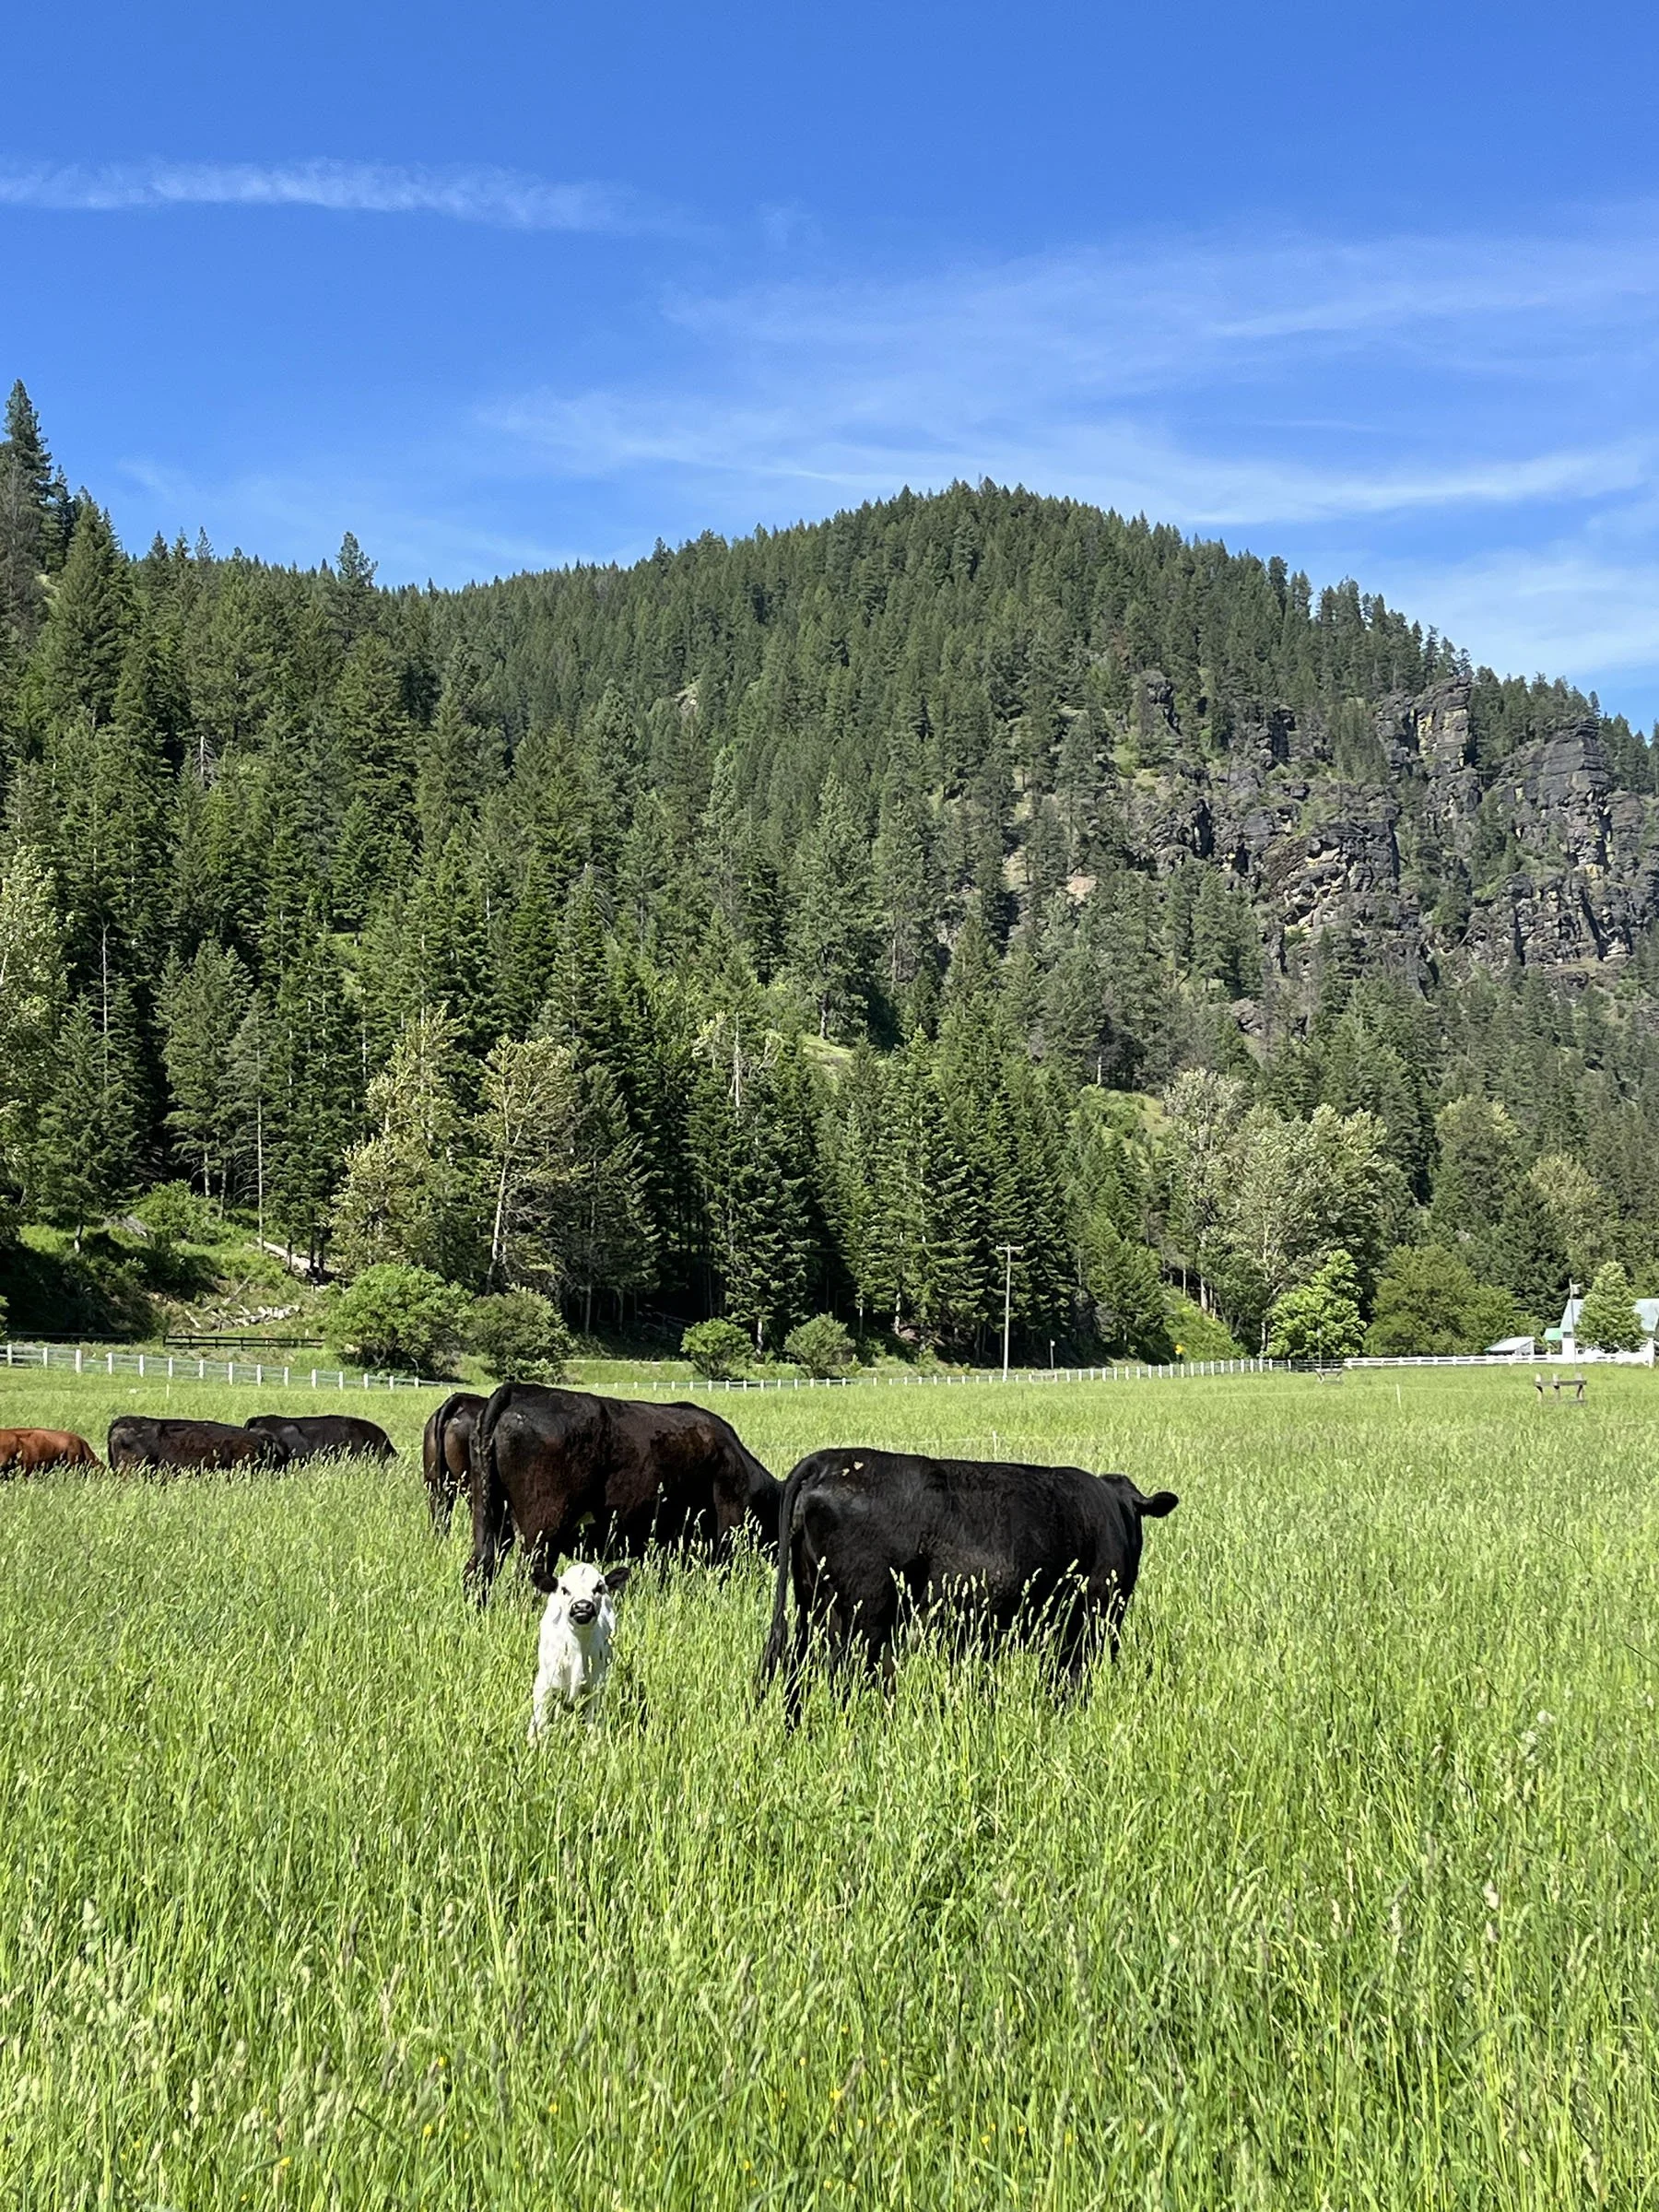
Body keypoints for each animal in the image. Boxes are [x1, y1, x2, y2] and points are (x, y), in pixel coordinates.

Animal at [466, 1381, 781, 1601]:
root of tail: (521, 1390)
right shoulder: (727, 1532)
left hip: (491, 1520)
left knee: (477, 1571)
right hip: (543, 1531)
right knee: (527, 1582)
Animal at [528, 1562, 631, 1736]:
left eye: (598, 1587)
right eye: (564, 1589)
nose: (582, 1606)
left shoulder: (597, 1687)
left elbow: (593, 1726)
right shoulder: (544, 1683)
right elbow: (539, 1721)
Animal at [759, 1447, 1179, 1721]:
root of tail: (827, 1461)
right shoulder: (1089, 1618)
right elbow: (1068, 1680)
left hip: (813, 1601)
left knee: (799, 1663)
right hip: (866, 1612)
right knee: (851, 1670)